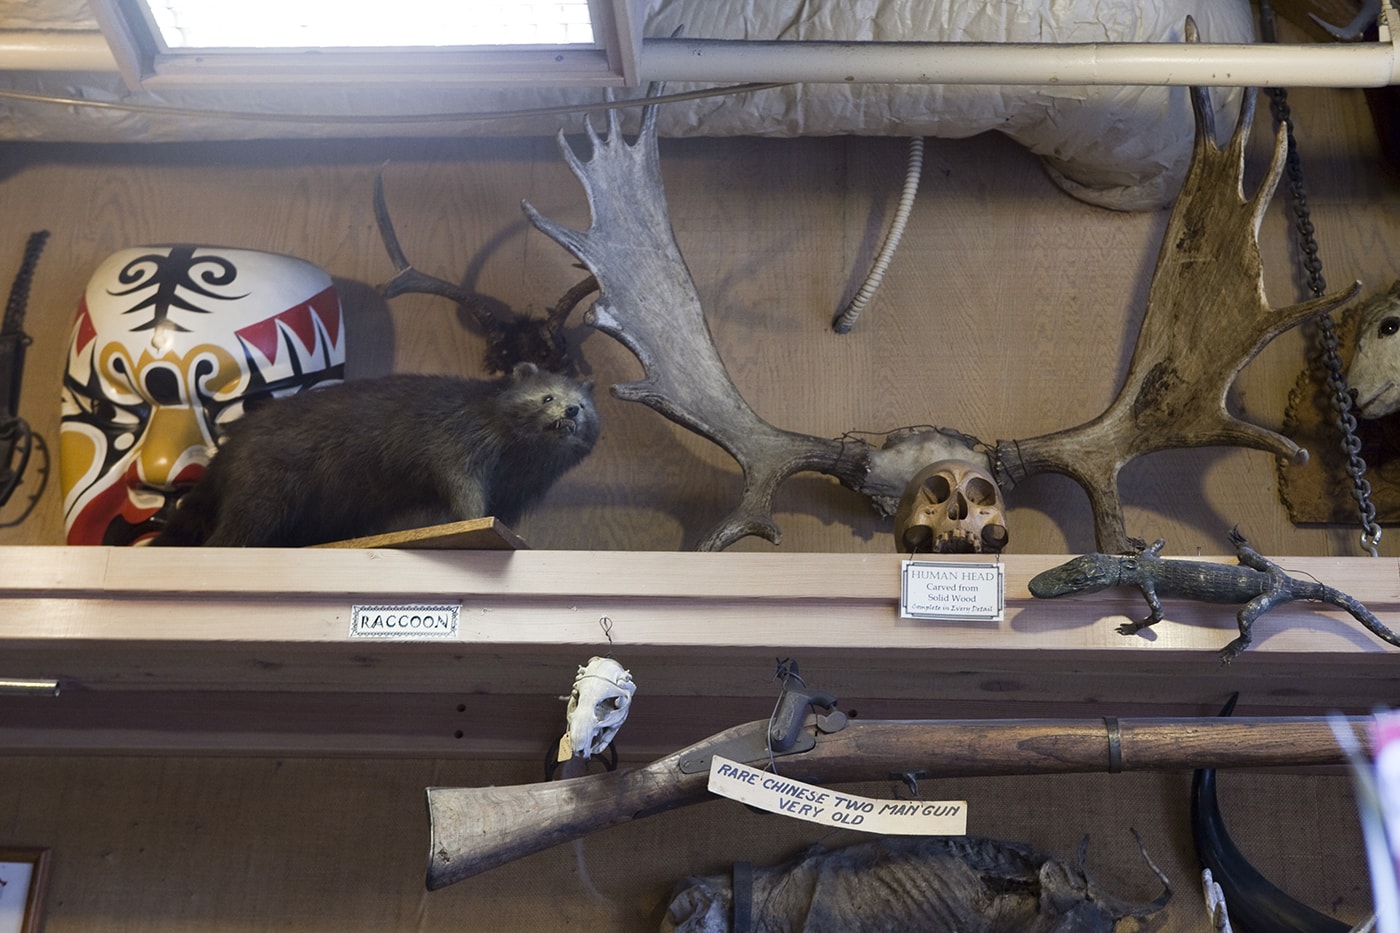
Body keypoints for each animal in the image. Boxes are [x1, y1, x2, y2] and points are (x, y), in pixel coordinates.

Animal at [150, 358, 599, 540]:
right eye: (547, 396)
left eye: (584, 402)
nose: (571, 409)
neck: (516, 467)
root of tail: (232, 444)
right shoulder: (456, 447)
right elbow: (463, 495)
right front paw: (474, 519)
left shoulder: (516, 493)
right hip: (261, 493)